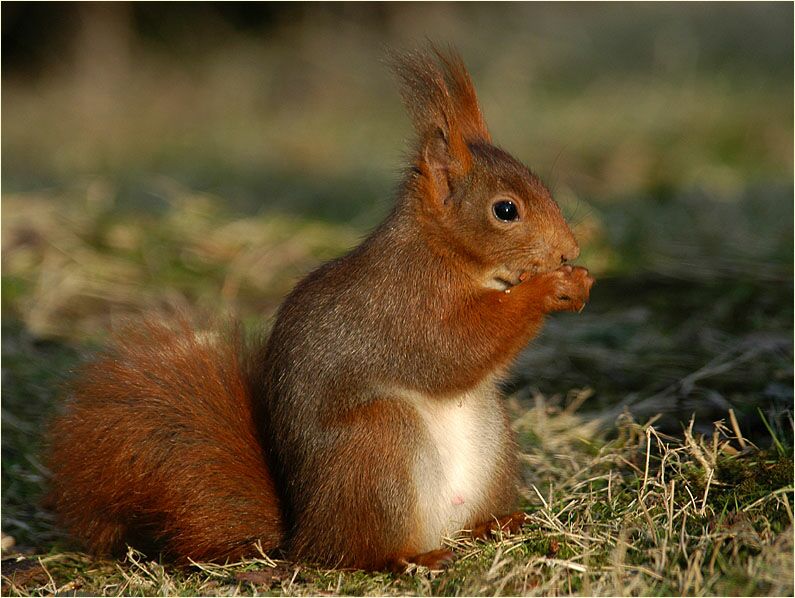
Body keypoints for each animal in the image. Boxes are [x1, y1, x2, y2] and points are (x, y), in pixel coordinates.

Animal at [46, 47, 594, 572]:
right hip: (377, 449)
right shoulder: (404, 304)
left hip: (489, 431)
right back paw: (411, 558)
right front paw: (551, 287)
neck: (444, 251)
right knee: (358, 554)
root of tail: (305, 535)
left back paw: (496, 525)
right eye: (506, 210)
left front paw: (578, 280)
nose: (568, 250)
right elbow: (452, 349)